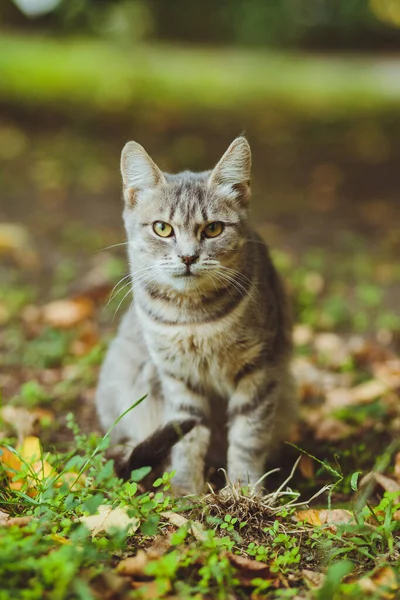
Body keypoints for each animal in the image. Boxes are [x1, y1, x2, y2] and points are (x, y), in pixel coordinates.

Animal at [96, 138, 296, 494]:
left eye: (213, 229)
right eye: (162, 228)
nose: (188, 257)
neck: (192, 317)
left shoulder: (259, 369)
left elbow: (248, 436)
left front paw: (244, 493)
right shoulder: (178, 377)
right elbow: (186, 440)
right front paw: (186, 492)